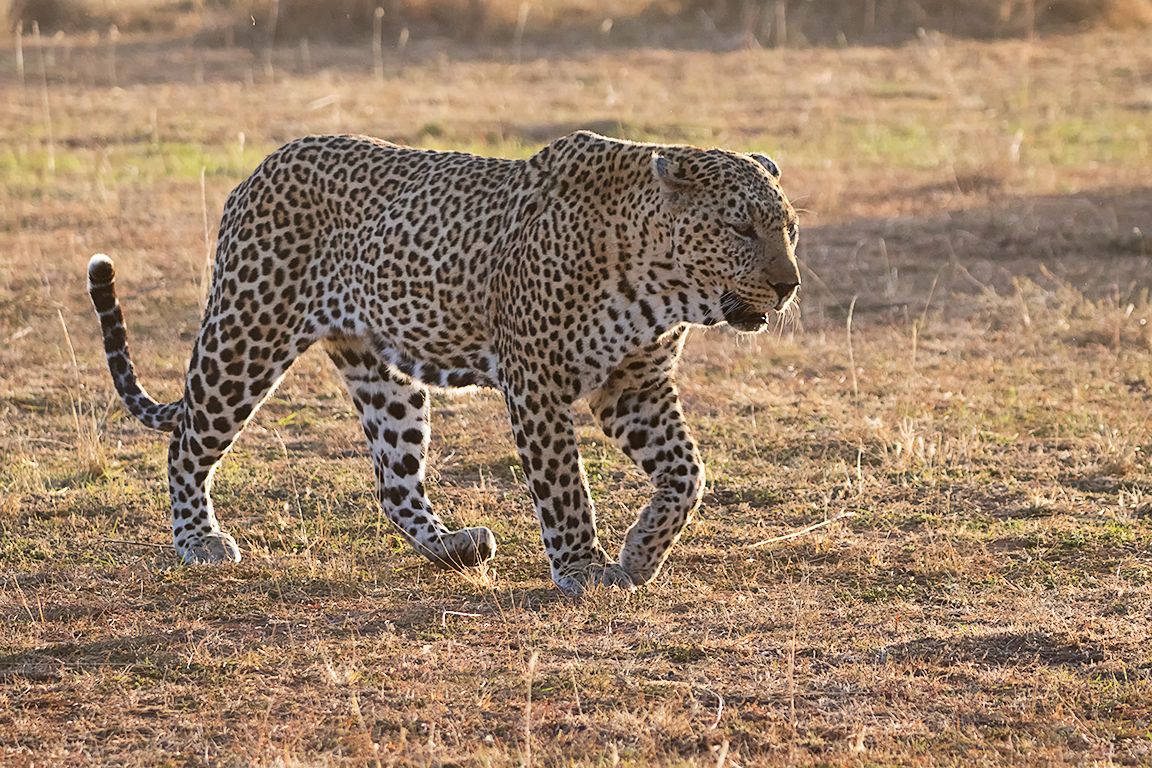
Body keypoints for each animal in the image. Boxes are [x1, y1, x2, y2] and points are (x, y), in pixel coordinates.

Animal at [87, 130, 801, 596]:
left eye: (790, 228)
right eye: (741, 229)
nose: (789, 285)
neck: (662, 283)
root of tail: (260, 168)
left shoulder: (634, 384)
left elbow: (687, 474)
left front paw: (640, 555)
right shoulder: (538, 382)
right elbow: (565, 486)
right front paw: (581, 568)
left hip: (379, 372)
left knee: (394, 482)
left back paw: (454, 548)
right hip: (247, 333)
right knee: (186, 441)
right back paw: (197, 541)